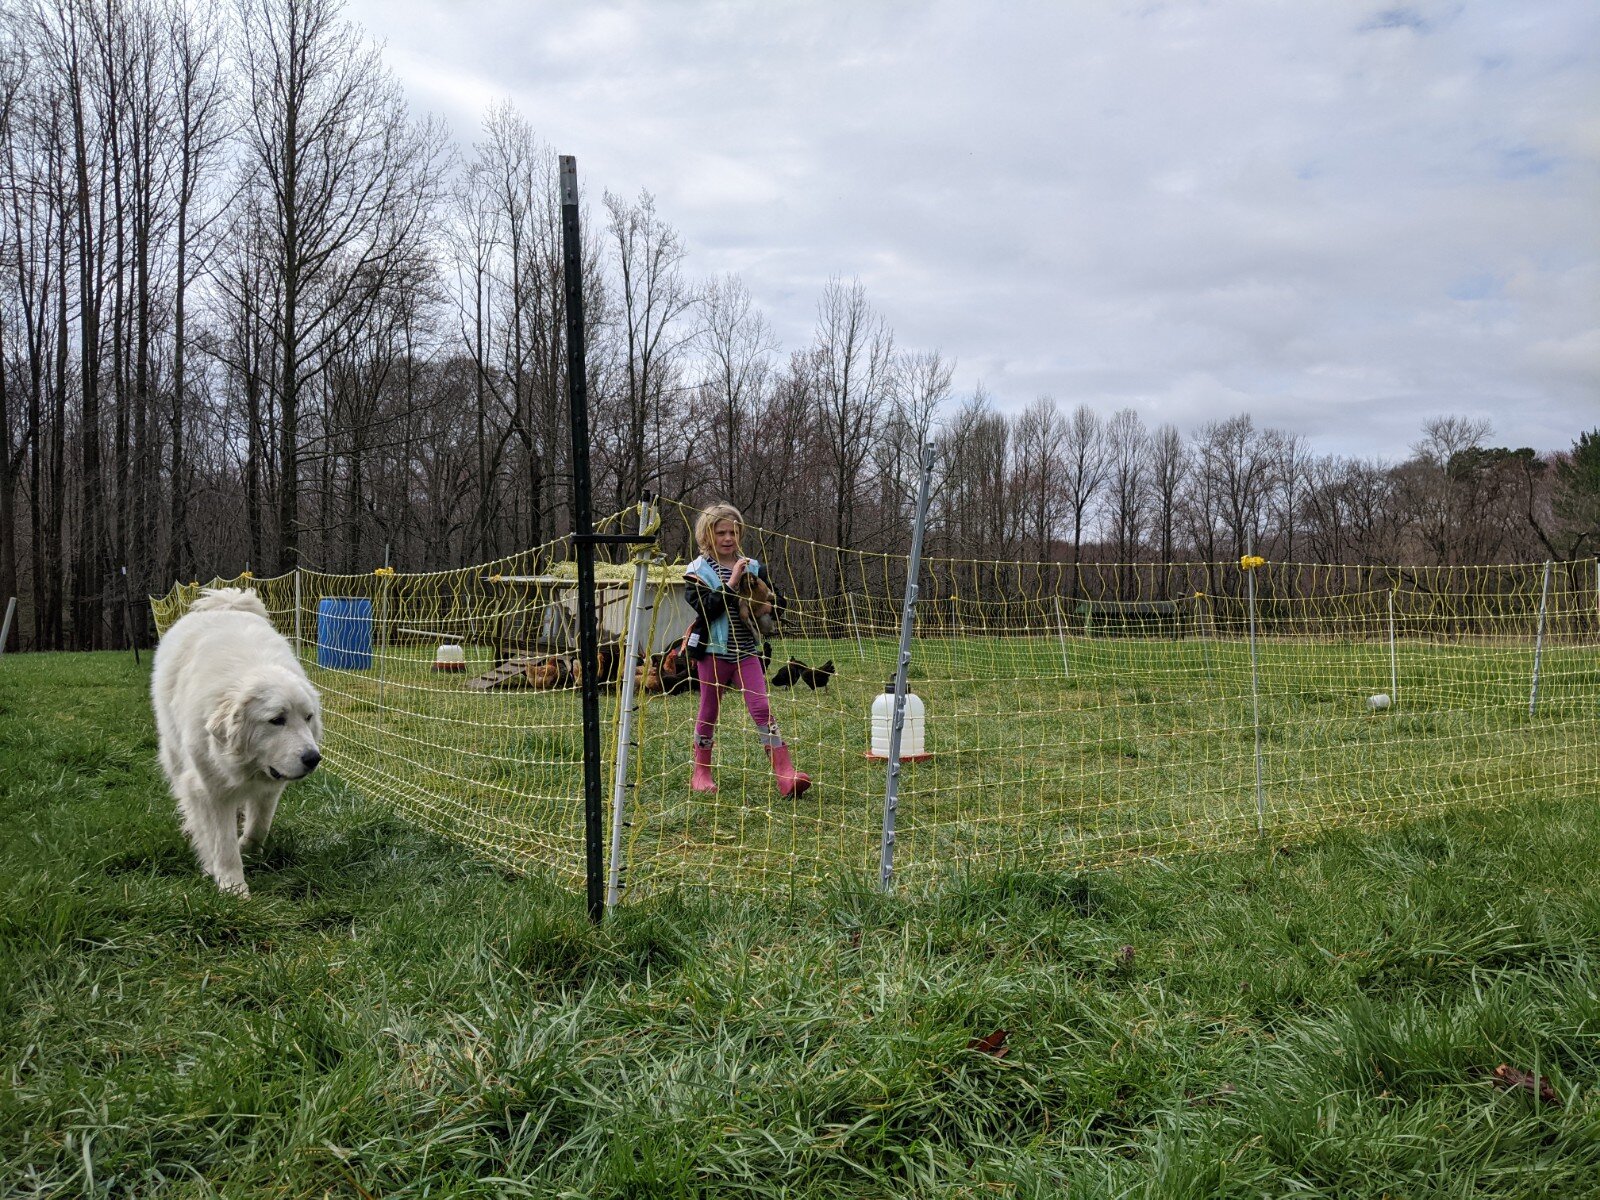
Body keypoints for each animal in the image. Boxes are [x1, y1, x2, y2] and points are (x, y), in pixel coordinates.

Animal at [151, 588, 323, 896]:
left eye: (308, 717)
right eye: (276, 720)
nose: (313, 759)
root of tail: (226, 604)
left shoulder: (270, 786)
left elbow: (259, 826)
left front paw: (248, 848)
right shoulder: (210, 790)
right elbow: (223, 843)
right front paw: (233, 888)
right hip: (175, 755)